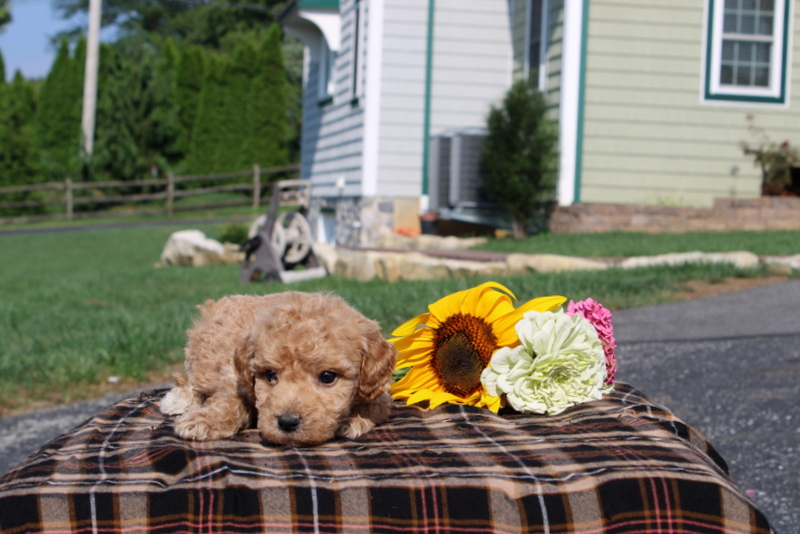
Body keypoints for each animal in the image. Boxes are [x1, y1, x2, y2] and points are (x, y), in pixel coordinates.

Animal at [161, 294, 398, 448]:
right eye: (270, 375)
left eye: (328, 377)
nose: (287, 422)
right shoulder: (235, 380)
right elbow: (229, 402)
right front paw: (204, 420)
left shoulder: (378, 392)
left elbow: (373, 407)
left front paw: (352, 420)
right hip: (201, 357)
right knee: (191, 380)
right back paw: (178, 400)